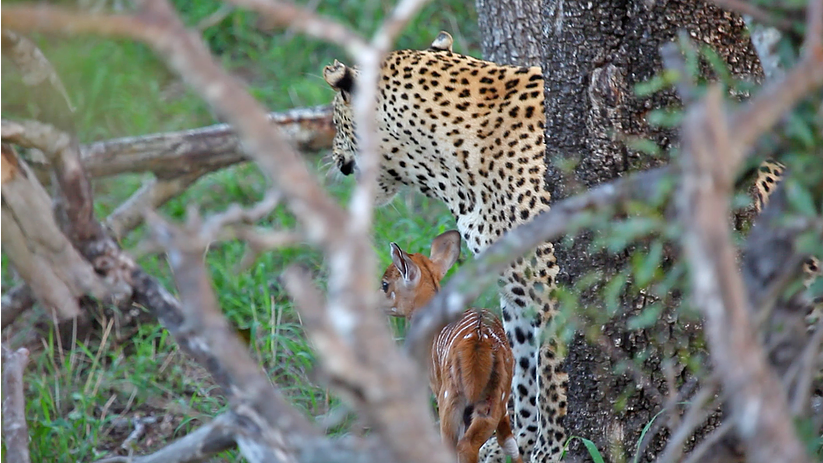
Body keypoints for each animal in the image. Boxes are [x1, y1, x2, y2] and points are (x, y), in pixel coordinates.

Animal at [322, 30, 568, 462]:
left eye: (336, 120)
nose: (335, 158)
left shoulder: (551, 289)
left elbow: (551, 376)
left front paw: (549, 451)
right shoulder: (516, 290)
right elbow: (523, 372)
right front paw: (518, 443)